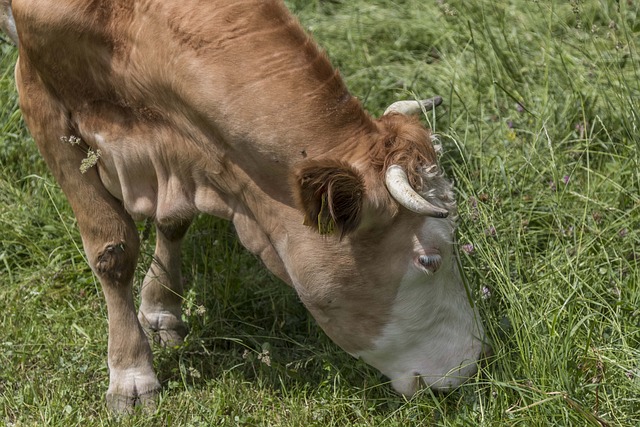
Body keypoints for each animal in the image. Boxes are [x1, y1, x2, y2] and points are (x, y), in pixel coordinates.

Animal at [2, 0, 488, 414]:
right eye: (428, 260)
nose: (474, 361)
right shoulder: (38, 93)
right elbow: (113, 249)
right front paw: (131, 374)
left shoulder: (187, 148)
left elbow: (174, 219)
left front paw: (161, 309)